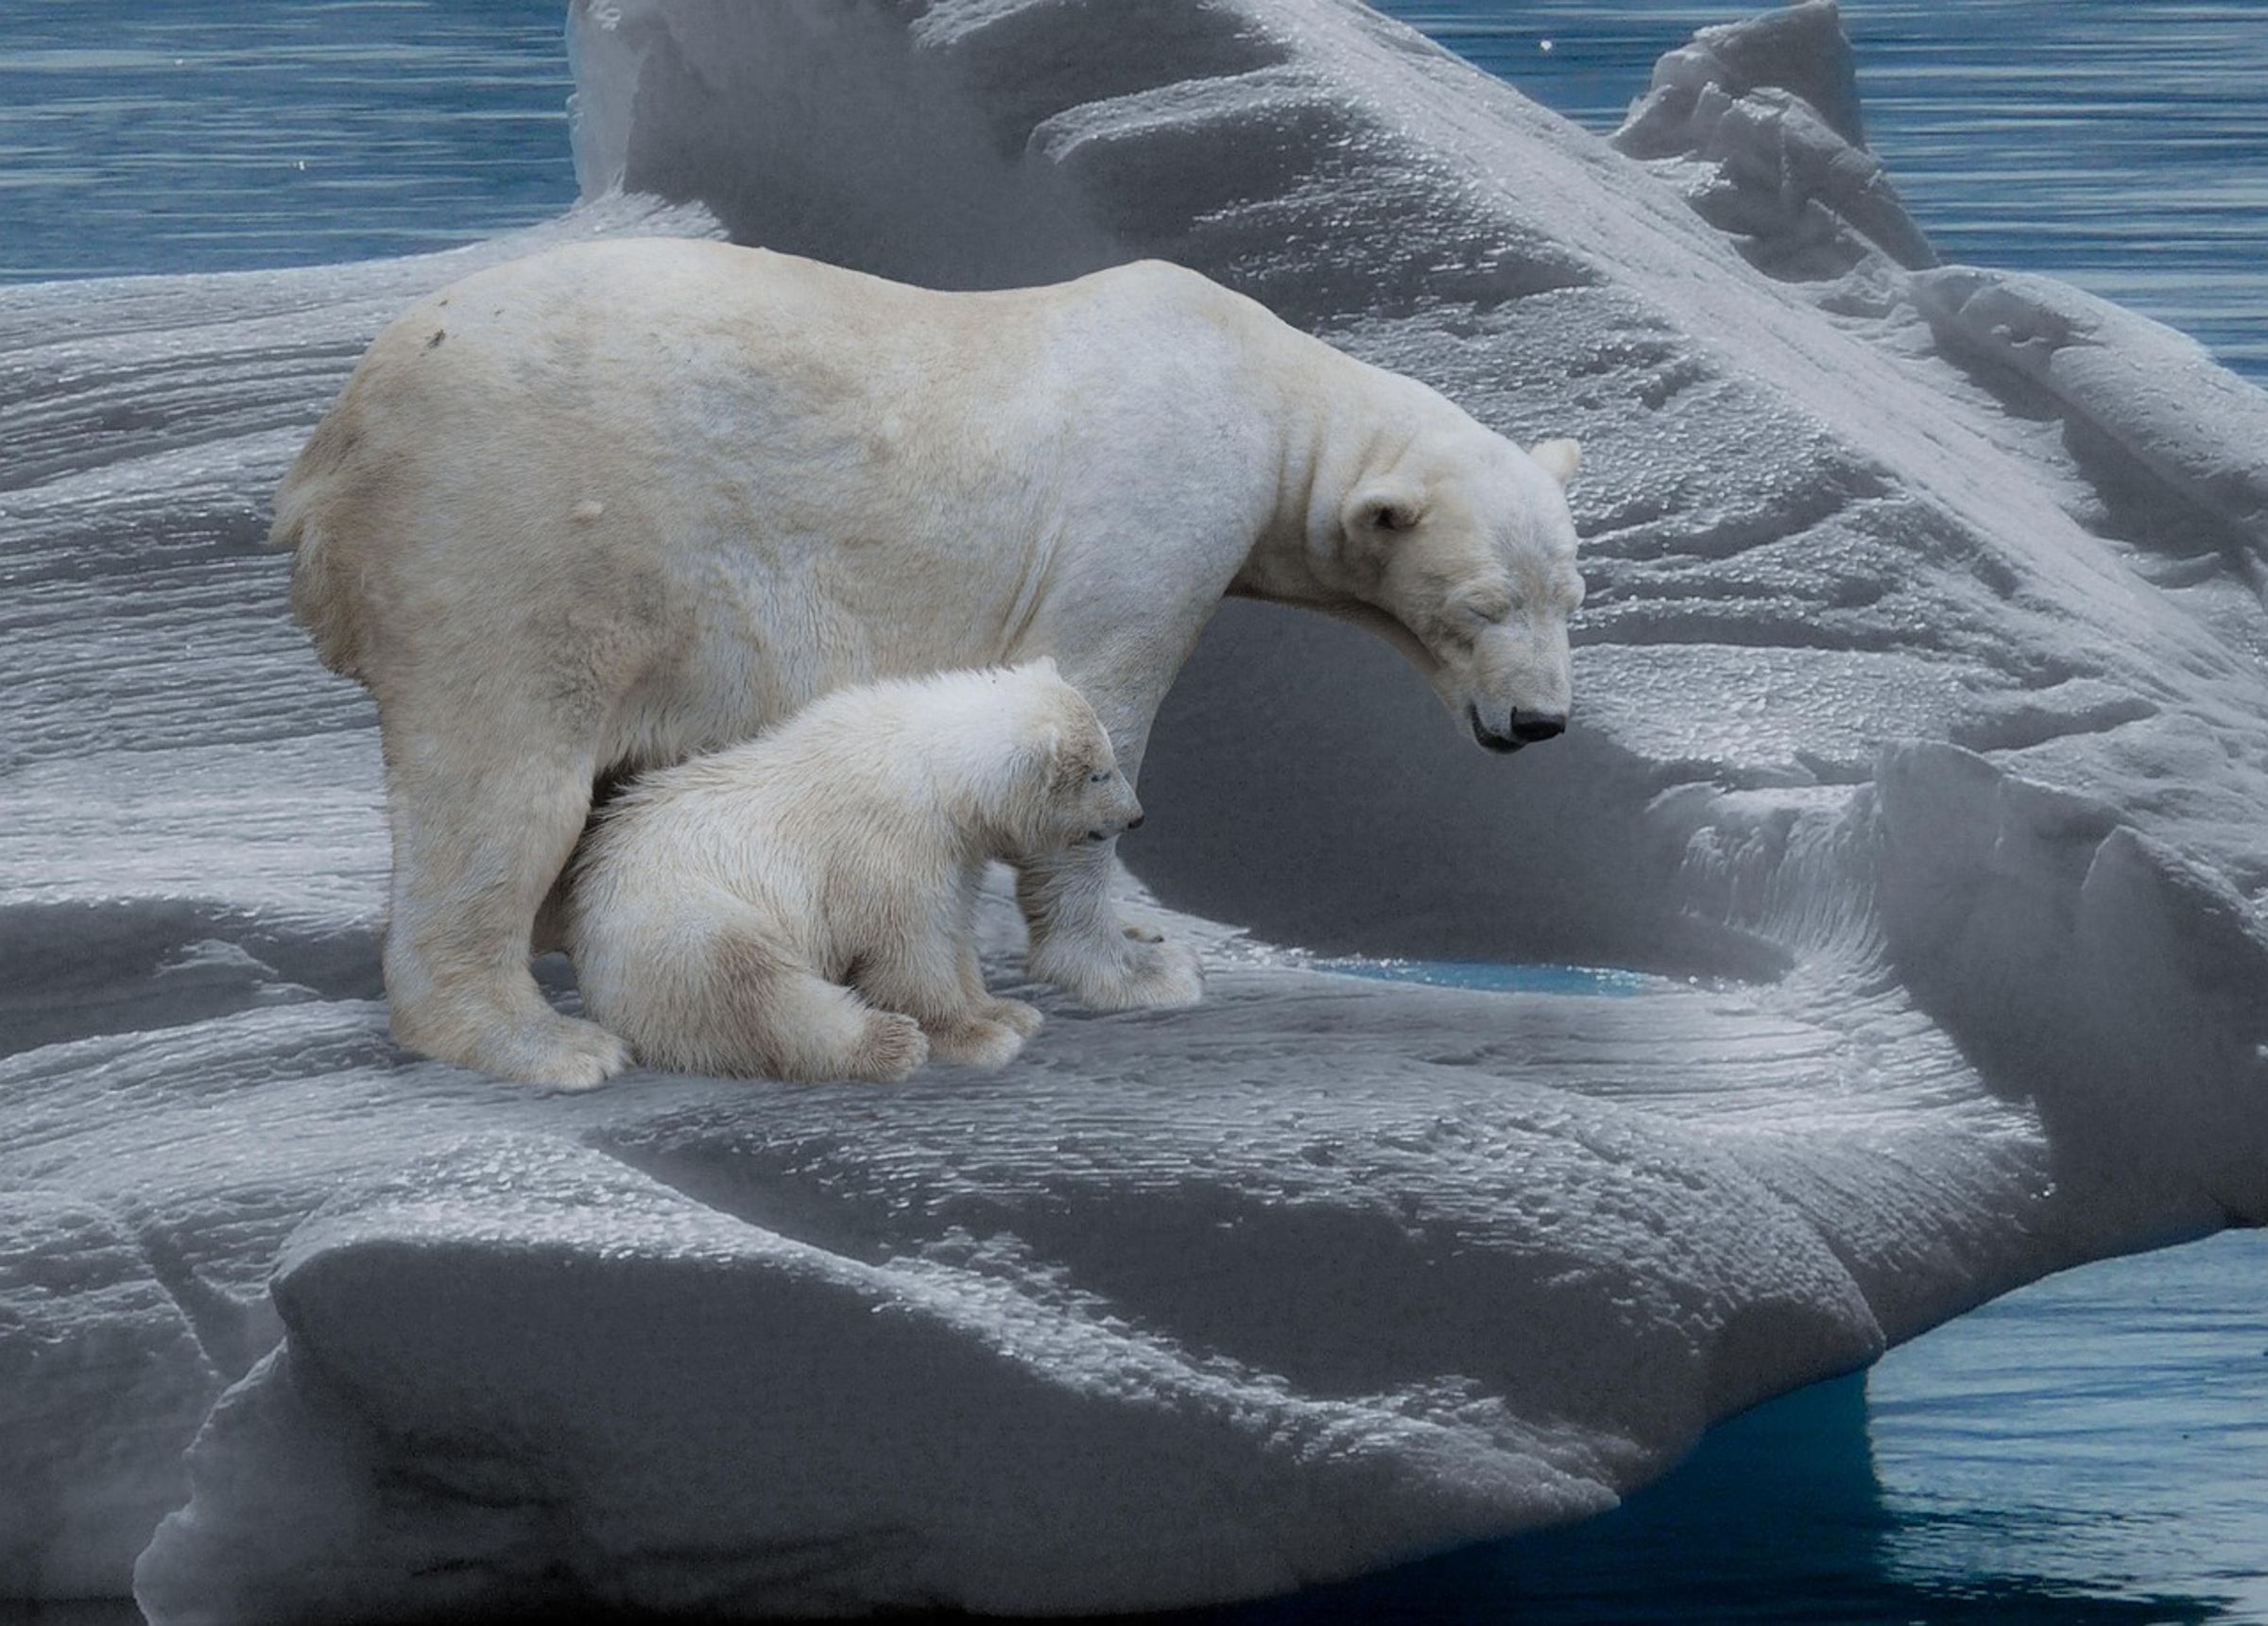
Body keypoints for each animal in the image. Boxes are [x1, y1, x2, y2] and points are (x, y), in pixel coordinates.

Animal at [563, 661, 1142, 1084]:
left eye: (1110, 757)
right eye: (1099, 773)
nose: (1136, 817)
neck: (932, 767)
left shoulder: (952, 852)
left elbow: (953, 930)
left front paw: (1007, 1011)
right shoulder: (888, 846)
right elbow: (908, 951)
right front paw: (977, 1038)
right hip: (681, 921)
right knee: (757, 987)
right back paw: (889, 1043)